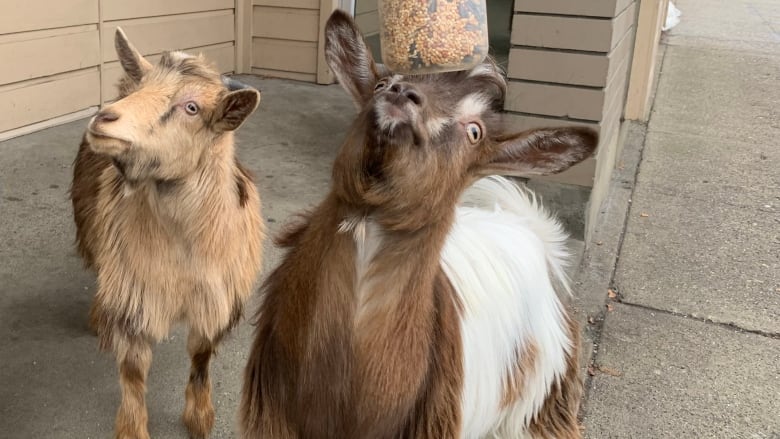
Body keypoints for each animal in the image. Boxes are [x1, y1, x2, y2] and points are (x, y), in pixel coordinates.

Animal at [70, 29, 266, 438]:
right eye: (141, 87)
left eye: (191, 107)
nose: (104, 119)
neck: (183, 245)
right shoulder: (134, 295)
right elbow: (132, 372)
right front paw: (133, 429)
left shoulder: (215, 298)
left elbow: (201, 356)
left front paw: (199, 418)